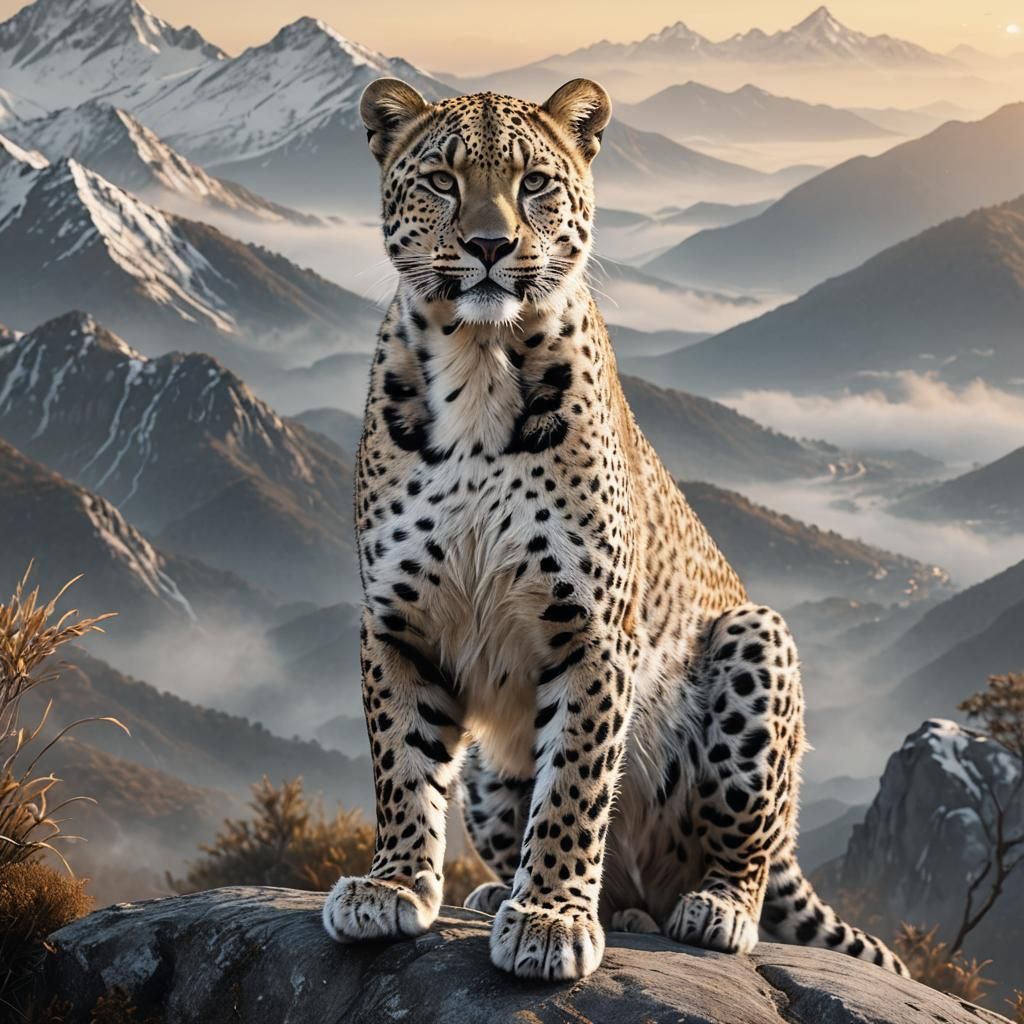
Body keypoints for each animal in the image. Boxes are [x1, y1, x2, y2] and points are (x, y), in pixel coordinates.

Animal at [321, 76, 907, 982]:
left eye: (534, 182)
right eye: (442, 181)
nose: (489, 245)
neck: (479, 366)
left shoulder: (592, 629)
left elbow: (574, 782)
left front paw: (551, 918)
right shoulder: (398, 623)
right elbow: (401, 764)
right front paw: (393, 885)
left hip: (756, 640)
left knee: (739, 854)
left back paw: (707, 911)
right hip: (490, 768)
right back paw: (512, 895)